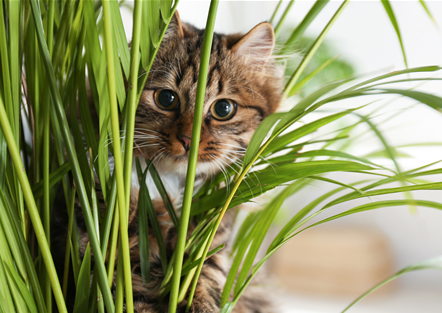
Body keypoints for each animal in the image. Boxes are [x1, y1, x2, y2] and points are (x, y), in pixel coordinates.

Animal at [54, 11, 284, 310]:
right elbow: (129, 298)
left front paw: (202, 305)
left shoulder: (210, 246)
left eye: (223, 109)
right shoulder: (98, 247)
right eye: (166, 98)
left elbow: (205, 280)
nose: (188, 140)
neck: (166, 184)